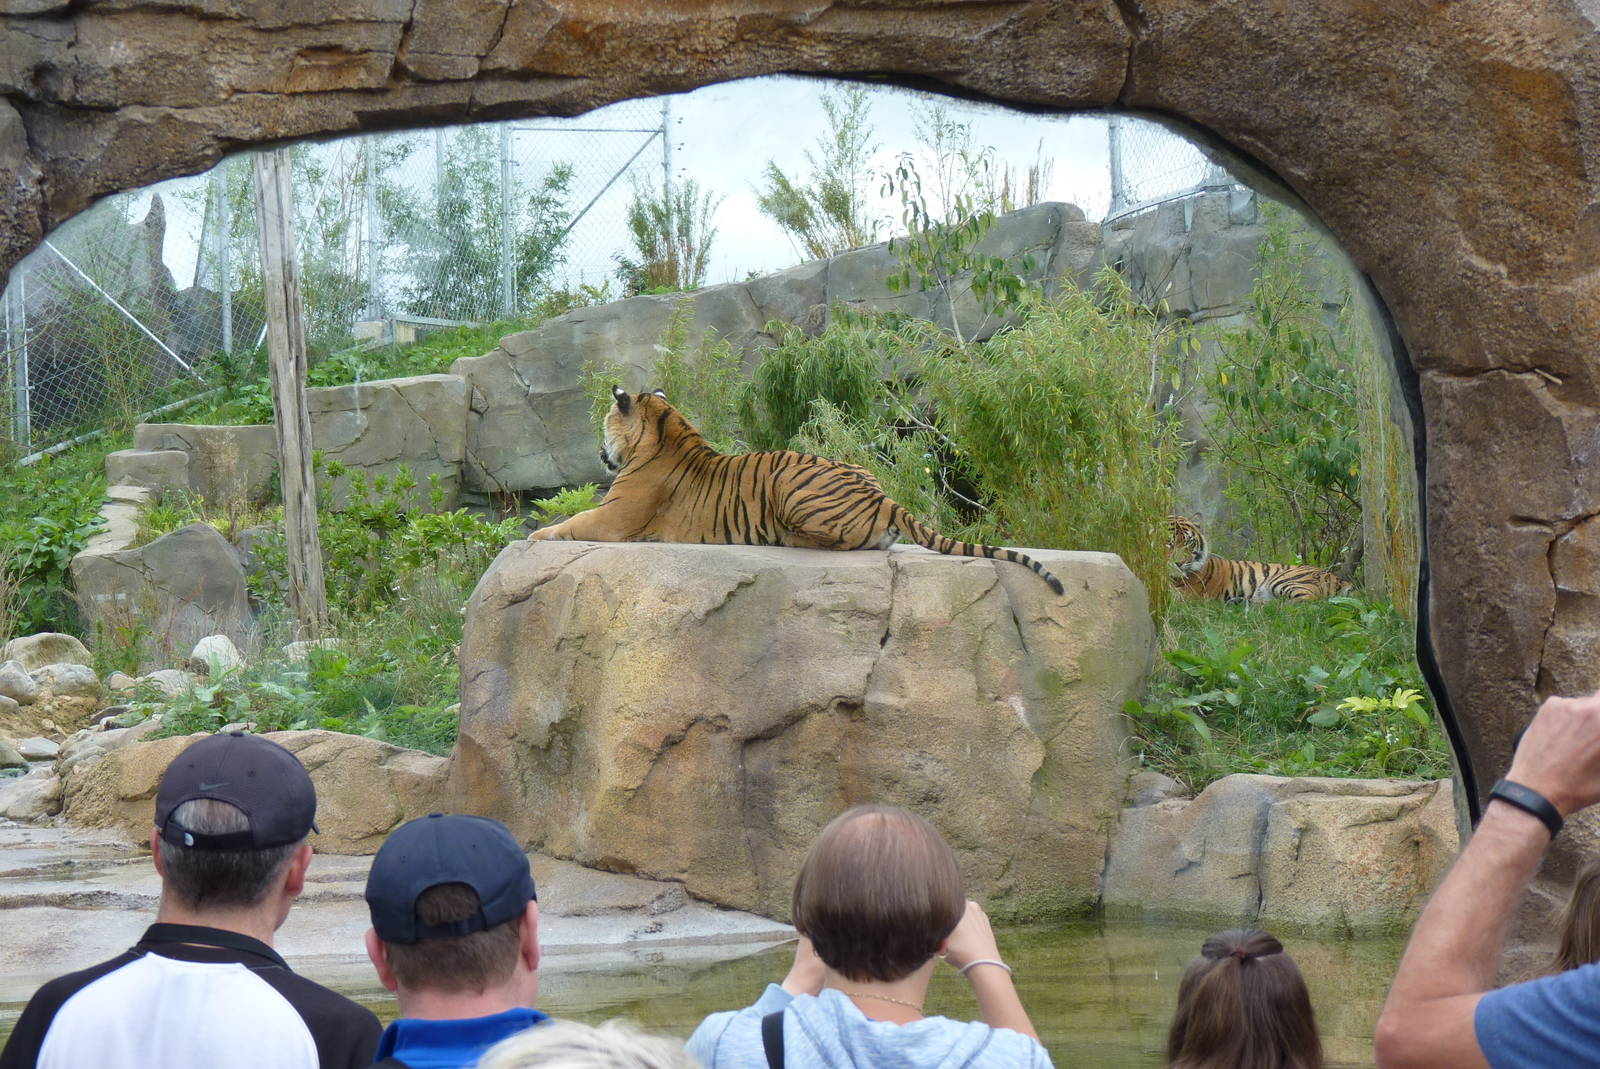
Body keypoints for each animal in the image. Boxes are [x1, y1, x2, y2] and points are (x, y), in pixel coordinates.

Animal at [527, 385, 1066, 595]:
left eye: (604, 423)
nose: (599, 452)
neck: (664, 429)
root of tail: (882, 493)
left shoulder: (613, 516)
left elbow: (570, 522)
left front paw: (533, 537)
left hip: (790, 487)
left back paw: (788, 537)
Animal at [1166, 515, 1349, 603]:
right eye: (1169, 543)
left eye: (1188, 543)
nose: (1179, 563)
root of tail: (1340, 579)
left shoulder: (1188, 595)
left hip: (1284, 580)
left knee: (1309, 601)